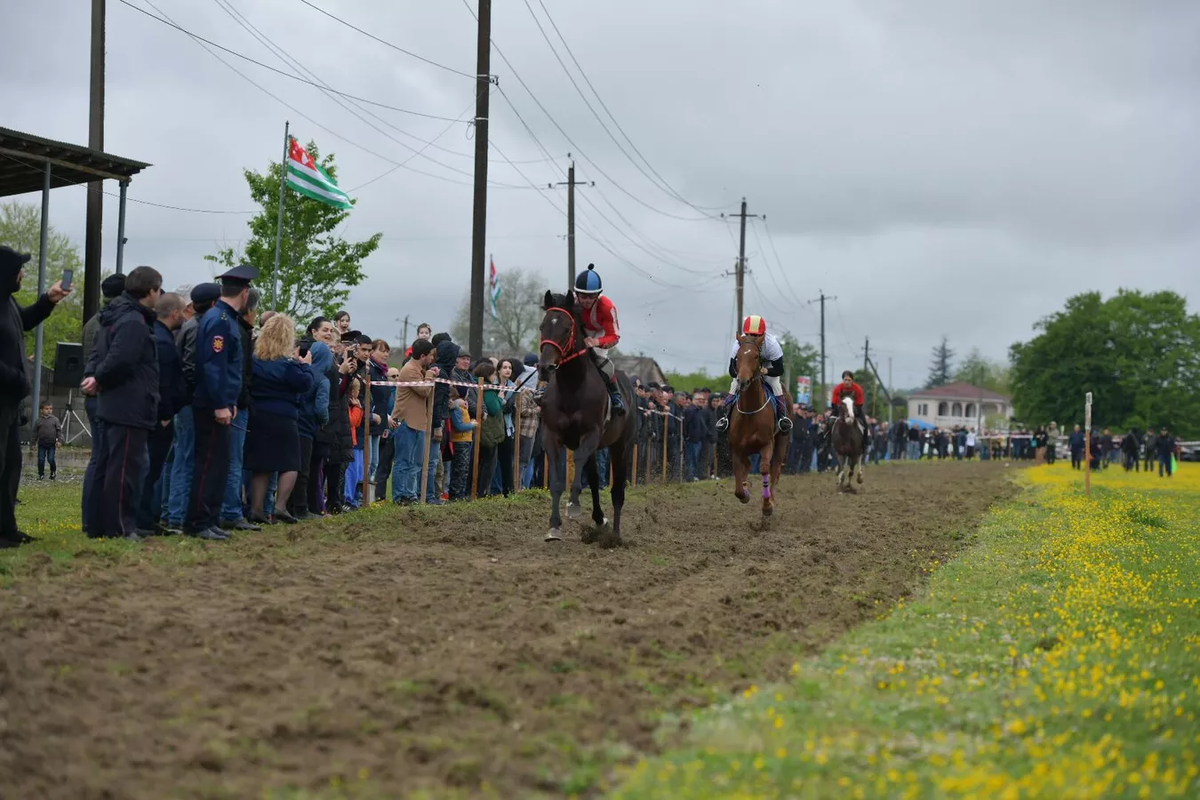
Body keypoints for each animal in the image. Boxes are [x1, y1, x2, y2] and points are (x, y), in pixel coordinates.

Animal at [542, 291, 643, 546]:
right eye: (542, 326)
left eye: (566, 328)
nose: (545, 367)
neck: (572, 388)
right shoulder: (552, 435)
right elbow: (557, 482)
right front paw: (554, 527)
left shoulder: (591, 433)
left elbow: (579, 467)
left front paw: (574, 505)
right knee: (595, 479)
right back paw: (599, 519)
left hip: (622, 446)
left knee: (617, 491)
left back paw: (614, 535)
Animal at [724, 333, 792, 515]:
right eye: (738, 357)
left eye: (755, 356)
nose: (743, 381)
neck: (751, 412)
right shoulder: (736, 447)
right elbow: (738, 486)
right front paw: (745, 491)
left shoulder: (767, 444)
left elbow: (764, 469)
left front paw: (767, 505)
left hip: (782, 441)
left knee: (775, 468)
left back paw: (772, 499)